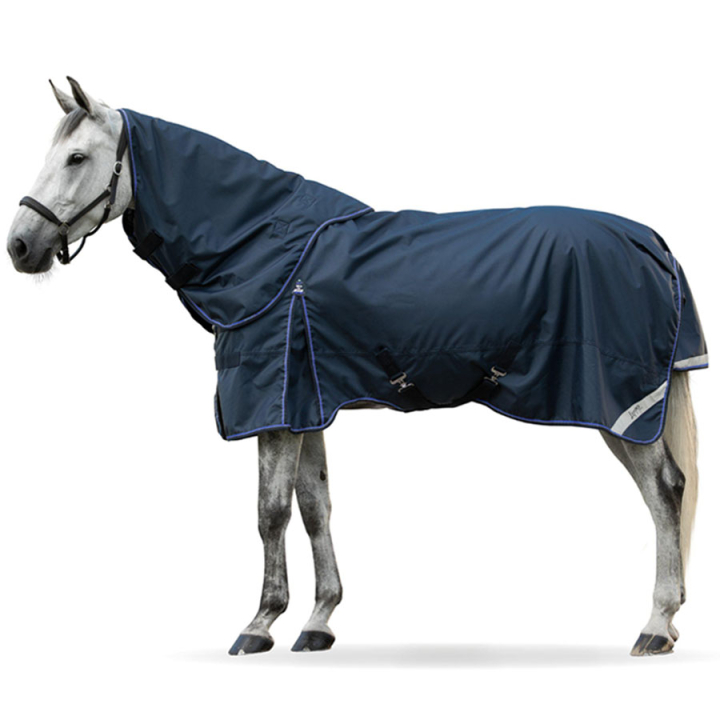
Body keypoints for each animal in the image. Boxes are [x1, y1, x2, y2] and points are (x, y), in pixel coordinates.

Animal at [7, 78, 707, 657]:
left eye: (76, 158)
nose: (19, 246)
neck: (261, 250)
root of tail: (653, 243)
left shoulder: (272, 407)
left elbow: (269, 512)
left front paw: (259, 625)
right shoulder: (307, 401)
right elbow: (315, 506)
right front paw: (318, 622)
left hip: (620, 406)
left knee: (665, 490)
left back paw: (655, 624)